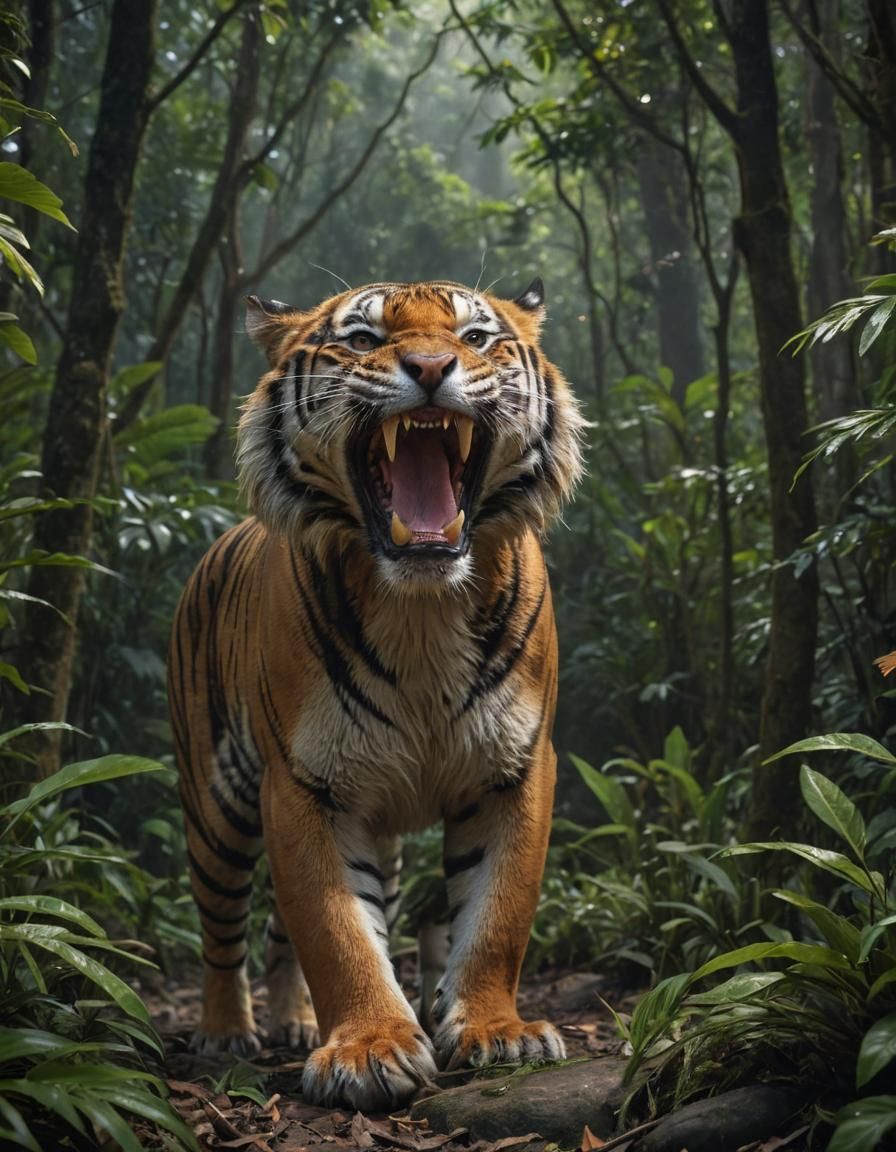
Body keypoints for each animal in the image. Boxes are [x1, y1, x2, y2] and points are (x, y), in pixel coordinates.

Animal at [167, 278, 584, 1110]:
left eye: (475, 337)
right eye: (363, 339)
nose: (429, 368)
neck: (422, 607)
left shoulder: (516, 769)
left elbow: (497, 914)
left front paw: (498, 1032)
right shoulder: (303, 786)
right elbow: (335, 930)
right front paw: (368, 1049)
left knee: (279, 935)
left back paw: (295, 1022)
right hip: (216, 805)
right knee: (222, 930)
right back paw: (227, 1031)